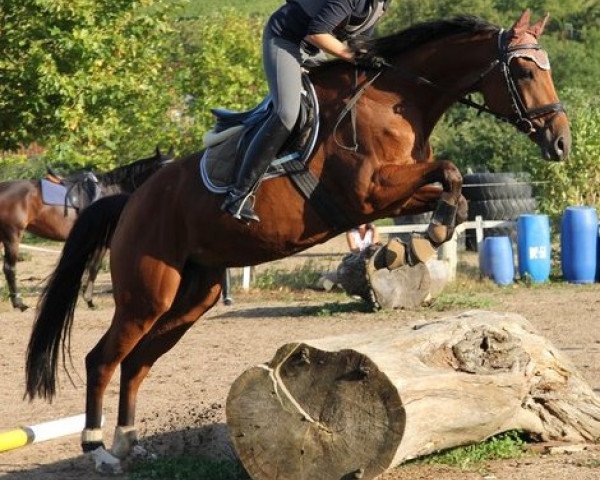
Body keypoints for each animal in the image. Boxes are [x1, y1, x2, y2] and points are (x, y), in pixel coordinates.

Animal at [0, 147, 173, 312]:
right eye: (162, 168)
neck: (112, 192)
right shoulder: (102, 243)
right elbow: (94, 268)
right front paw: (89, 300)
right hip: (12, 236)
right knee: (9, 268)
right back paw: (19, 303)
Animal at [24, 10, 568, 472]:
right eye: (523, 70)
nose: (560, 141)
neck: (396, 100)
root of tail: (132, 200)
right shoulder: (370, 191)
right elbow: (451, 171)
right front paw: (415, 244)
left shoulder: (393, 193)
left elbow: (452, 192)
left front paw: (407, 246)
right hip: (147, 294)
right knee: (103, 358)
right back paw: (98, 451)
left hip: (192, 296)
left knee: (136, 362)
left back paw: (129, 443)